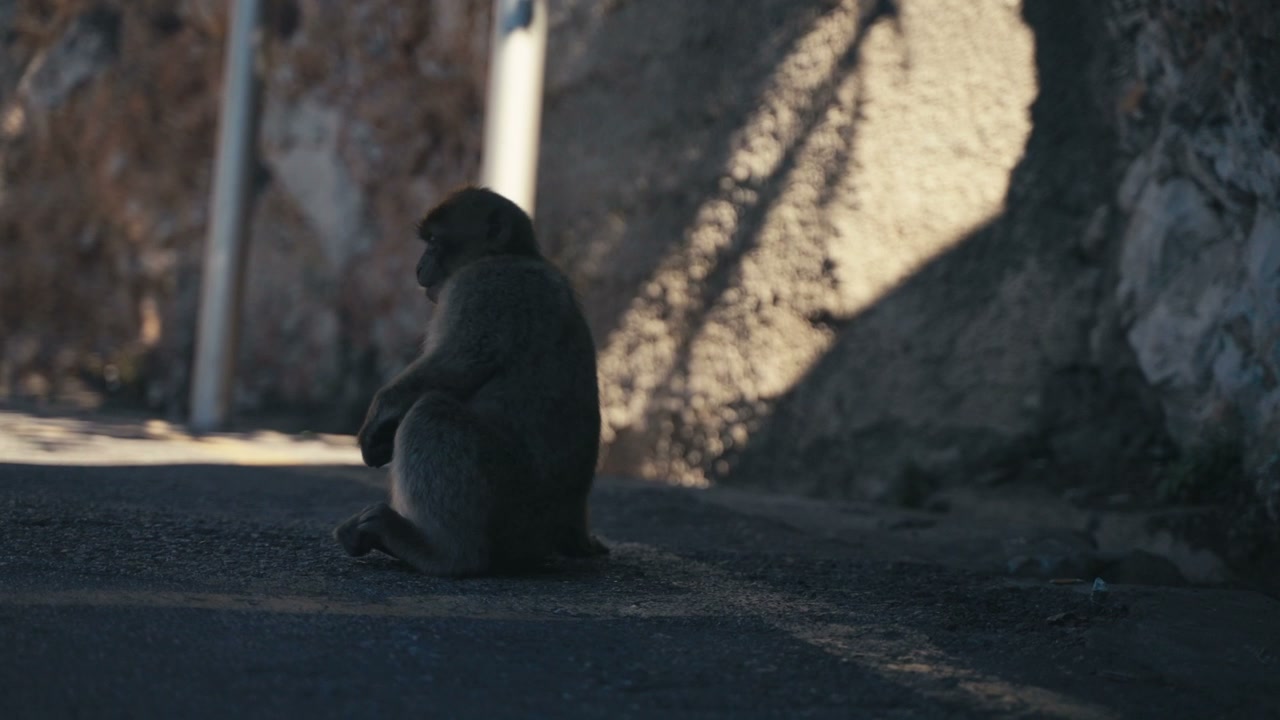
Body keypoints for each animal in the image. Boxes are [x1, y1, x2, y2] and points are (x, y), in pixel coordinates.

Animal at [334, 186, 608, 576]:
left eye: (434, 241)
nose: (419, 266)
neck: (512, 254)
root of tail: (564, 525)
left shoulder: (485, 285)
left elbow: (464, 359)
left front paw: (379, 417)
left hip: (512, 501)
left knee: (431, 411)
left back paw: (442, 552)